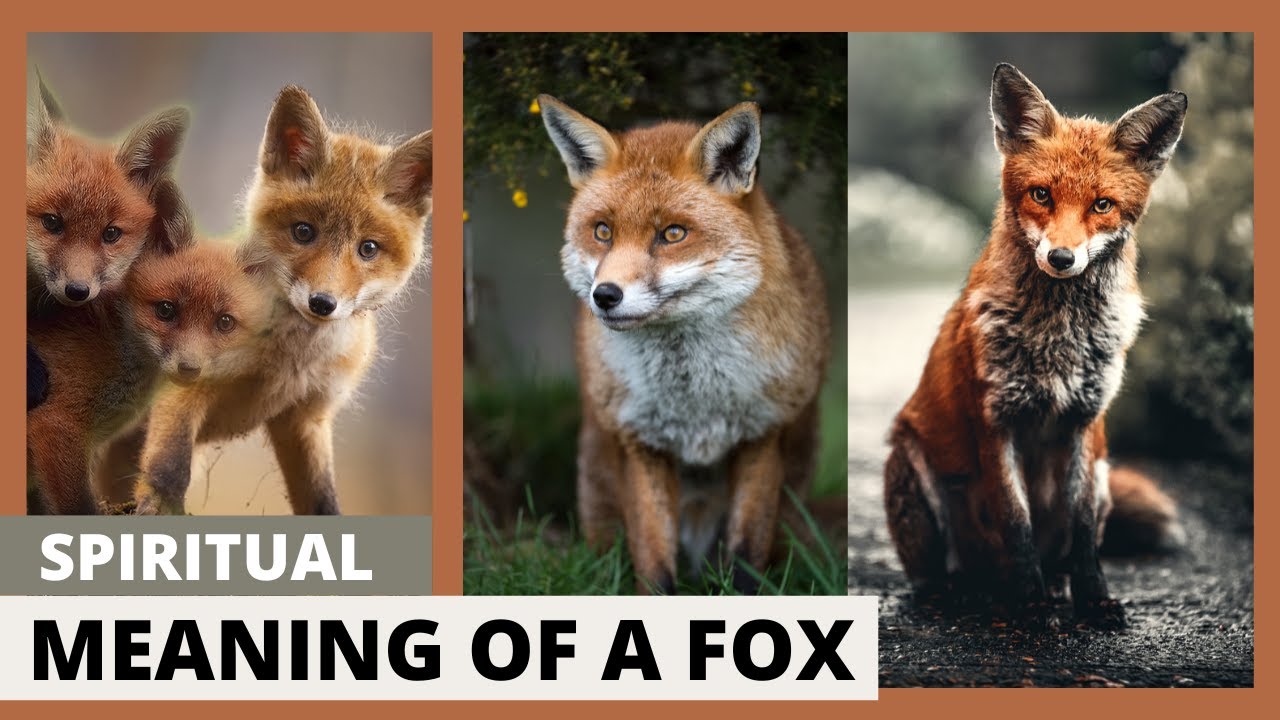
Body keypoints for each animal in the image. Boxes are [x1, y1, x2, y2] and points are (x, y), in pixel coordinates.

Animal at [130, 85, 433, 515]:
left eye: (368, 248)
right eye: (303, 232)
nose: (322, 303)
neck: (288, 361)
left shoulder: (306, 418)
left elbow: (322, 500)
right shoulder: (188, 377)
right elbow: (170, 465)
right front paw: (160, 504)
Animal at [538, 95, 831, 595]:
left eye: (672, 233)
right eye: (602, 231)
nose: (605, 296)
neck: (694, 397)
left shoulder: (762, 434)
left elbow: (746, 557)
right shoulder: (640, 441)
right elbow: (654, 562)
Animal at [883, 63, 1189, 624]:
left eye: (1102, 205)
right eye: (1041, 195)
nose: (1062, 258)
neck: (1057, 338)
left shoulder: (1085, 423)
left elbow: (1084, 531)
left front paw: (1094, 599)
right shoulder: (995, 421)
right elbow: (1016, 522)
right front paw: (1030, 605)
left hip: (1105, 472)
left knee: (1063, 551)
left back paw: (1055, 585)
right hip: (912, 464)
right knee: (939, 575)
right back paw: (970, 591)